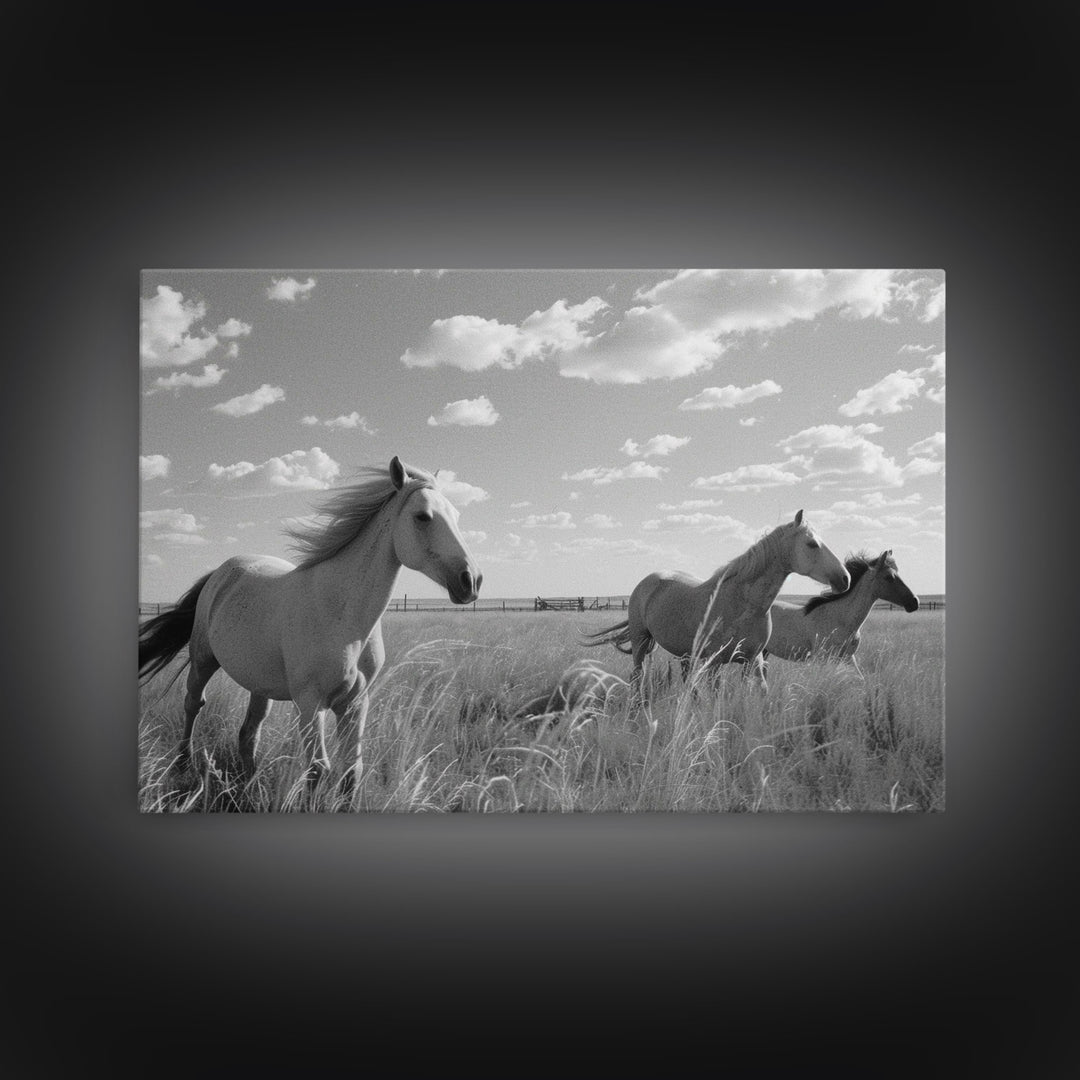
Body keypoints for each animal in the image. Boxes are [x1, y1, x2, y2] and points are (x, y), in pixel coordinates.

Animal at [138, 456, 482, 796]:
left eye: (457, 515)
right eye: (422, 516)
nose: (471, 581)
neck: (341, 614)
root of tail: (221, 573)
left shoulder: (355, 703)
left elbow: (351, 772)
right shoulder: (309, 704)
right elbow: (318, 770)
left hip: (259, 685)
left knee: (248, 733)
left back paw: (249, 787)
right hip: (203, 660)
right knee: (193, 704)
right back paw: (183, 764)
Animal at [583, 510, 849, 691]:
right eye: (812, 543)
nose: (845, 579)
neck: (744, 604)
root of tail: (647, 581)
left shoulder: (753, 659)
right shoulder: (714, 662)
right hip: (640, 640)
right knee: (637, 676)